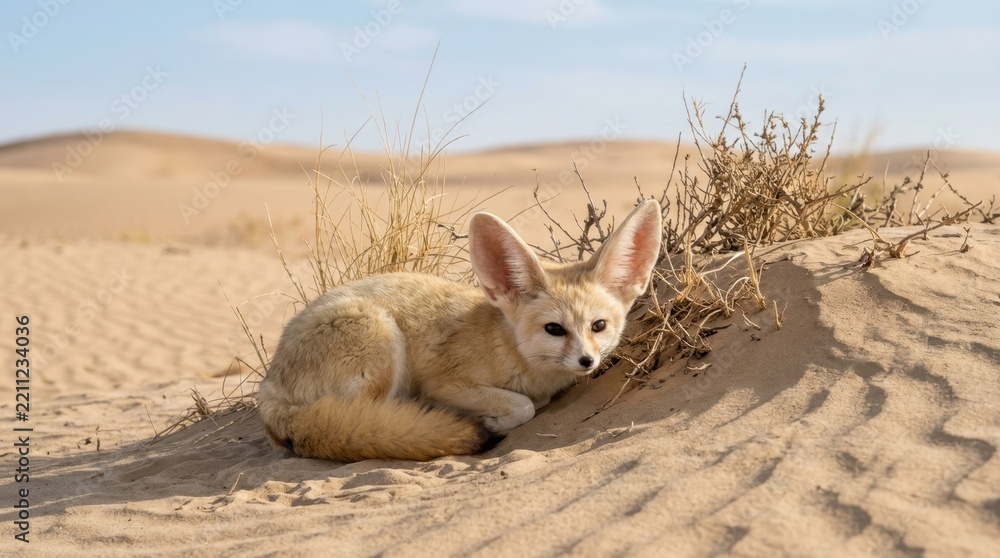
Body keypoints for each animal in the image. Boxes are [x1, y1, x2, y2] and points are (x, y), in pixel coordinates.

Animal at [257, 199, 663, 462]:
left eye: (598, 326)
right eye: (554, 329)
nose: (587, 361)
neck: (505, 345)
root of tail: (268, 389)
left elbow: (533, 402)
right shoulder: (445, 382)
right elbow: (524, 405)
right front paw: (492, 417)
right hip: (382, 339)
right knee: (362, 418)